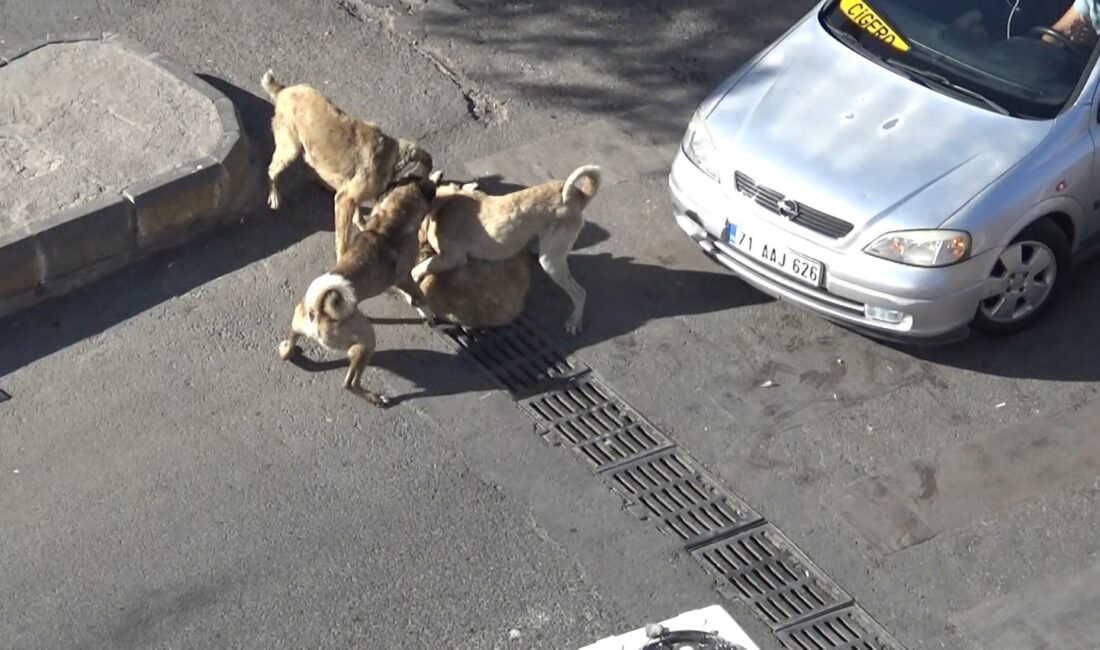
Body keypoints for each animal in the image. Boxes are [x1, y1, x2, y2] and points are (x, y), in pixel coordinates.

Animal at [259, 70, 431, 261]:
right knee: (271, 170)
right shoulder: (345, 200)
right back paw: (274, 196)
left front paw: (362, 223)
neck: (389, 155)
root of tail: (283, 91)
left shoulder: (351, 197)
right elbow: (343, 239)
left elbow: (357, 213)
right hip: (290, 149)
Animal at [277, 177, 435, 402]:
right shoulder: (405, 279)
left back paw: (288, 349)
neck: (392, 219)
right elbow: (420, 297)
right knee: (350, 383)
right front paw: (428, 315)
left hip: (300, 327)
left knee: (290, 346)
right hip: (367, 341)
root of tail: (317, 311)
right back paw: (375, 397)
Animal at [413, 164, 602, 336]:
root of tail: (578, 195)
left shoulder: (453, 257)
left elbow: (416, 271)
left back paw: (575, 320)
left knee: (580, 293)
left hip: (551, 264)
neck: (441, 202)